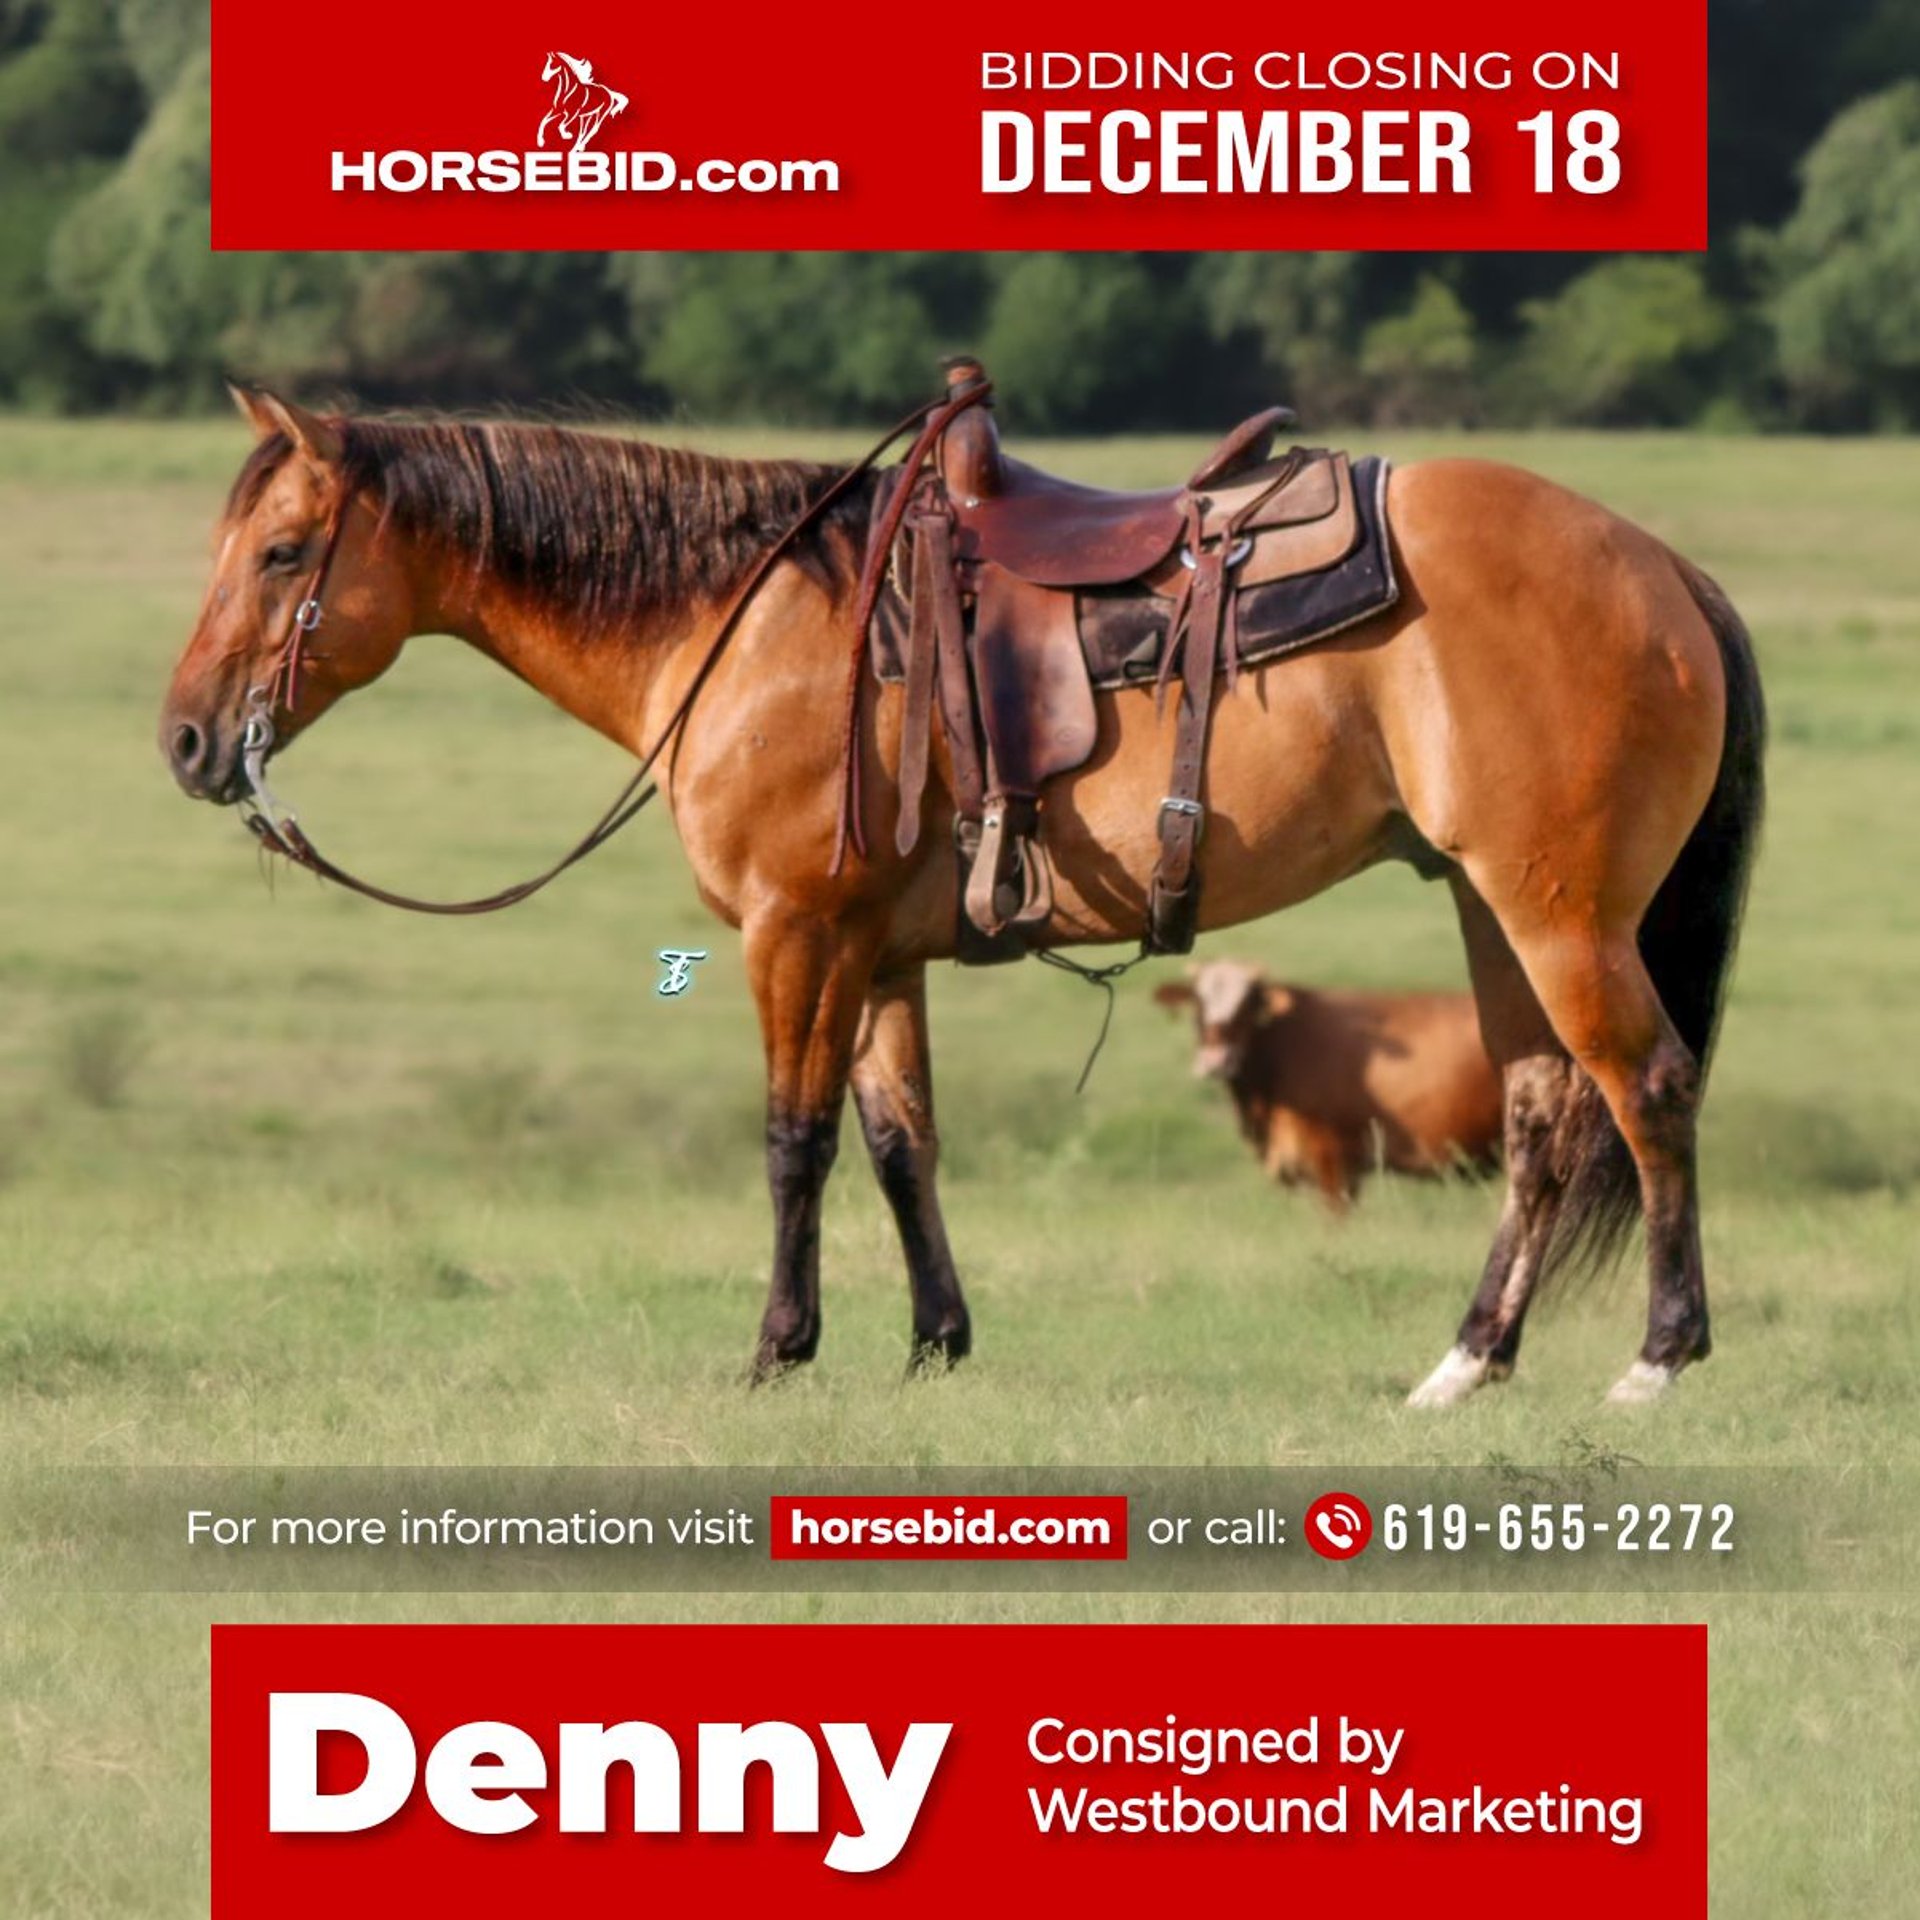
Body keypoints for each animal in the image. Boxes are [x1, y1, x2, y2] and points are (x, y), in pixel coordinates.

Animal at [159, 387, 1764, 1407]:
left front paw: (778, 1348)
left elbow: (796, 1142)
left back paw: (1659, 1357)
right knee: (1544, 1116)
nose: (184, 740)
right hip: (1493, 910)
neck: (748, 620)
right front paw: (937, 1341)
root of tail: (1666, 569)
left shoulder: (797, 933)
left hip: (1561, 915)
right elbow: (899, 1143)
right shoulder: (877, 950)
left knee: (1650, 1088)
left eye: (284, 553)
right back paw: (1465, 1363)